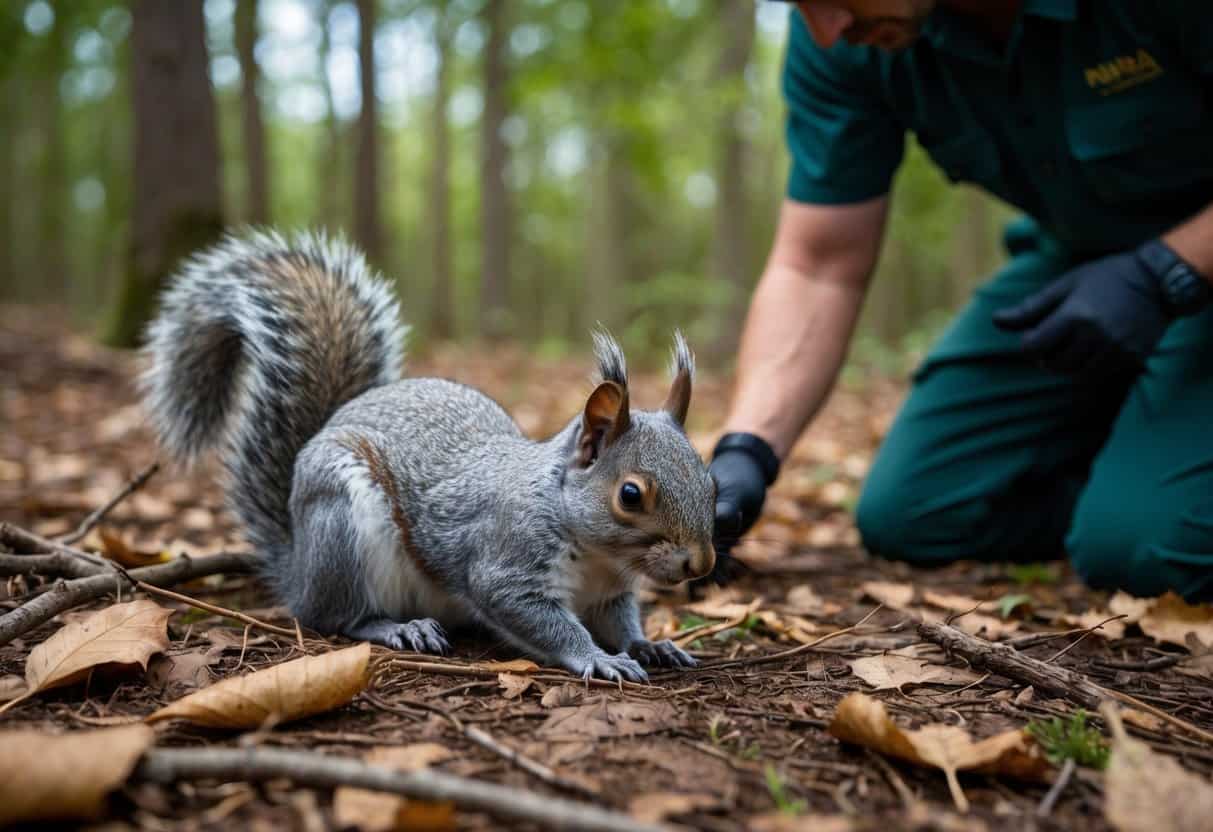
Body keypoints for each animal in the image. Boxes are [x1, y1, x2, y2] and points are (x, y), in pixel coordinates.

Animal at [140, 230, 716, 682]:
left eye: (711, 484)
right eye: (630, 495)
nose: (702, 563)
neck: (596, 554)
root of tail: (297, 563)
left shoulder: (609, 595)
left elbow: (623, 623)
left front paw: (649, 644)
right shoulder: (504, 564)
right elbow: (541, 621)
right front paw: (597, 657)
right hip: (342, 526)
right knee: (336, 617)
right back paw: (399, 627)